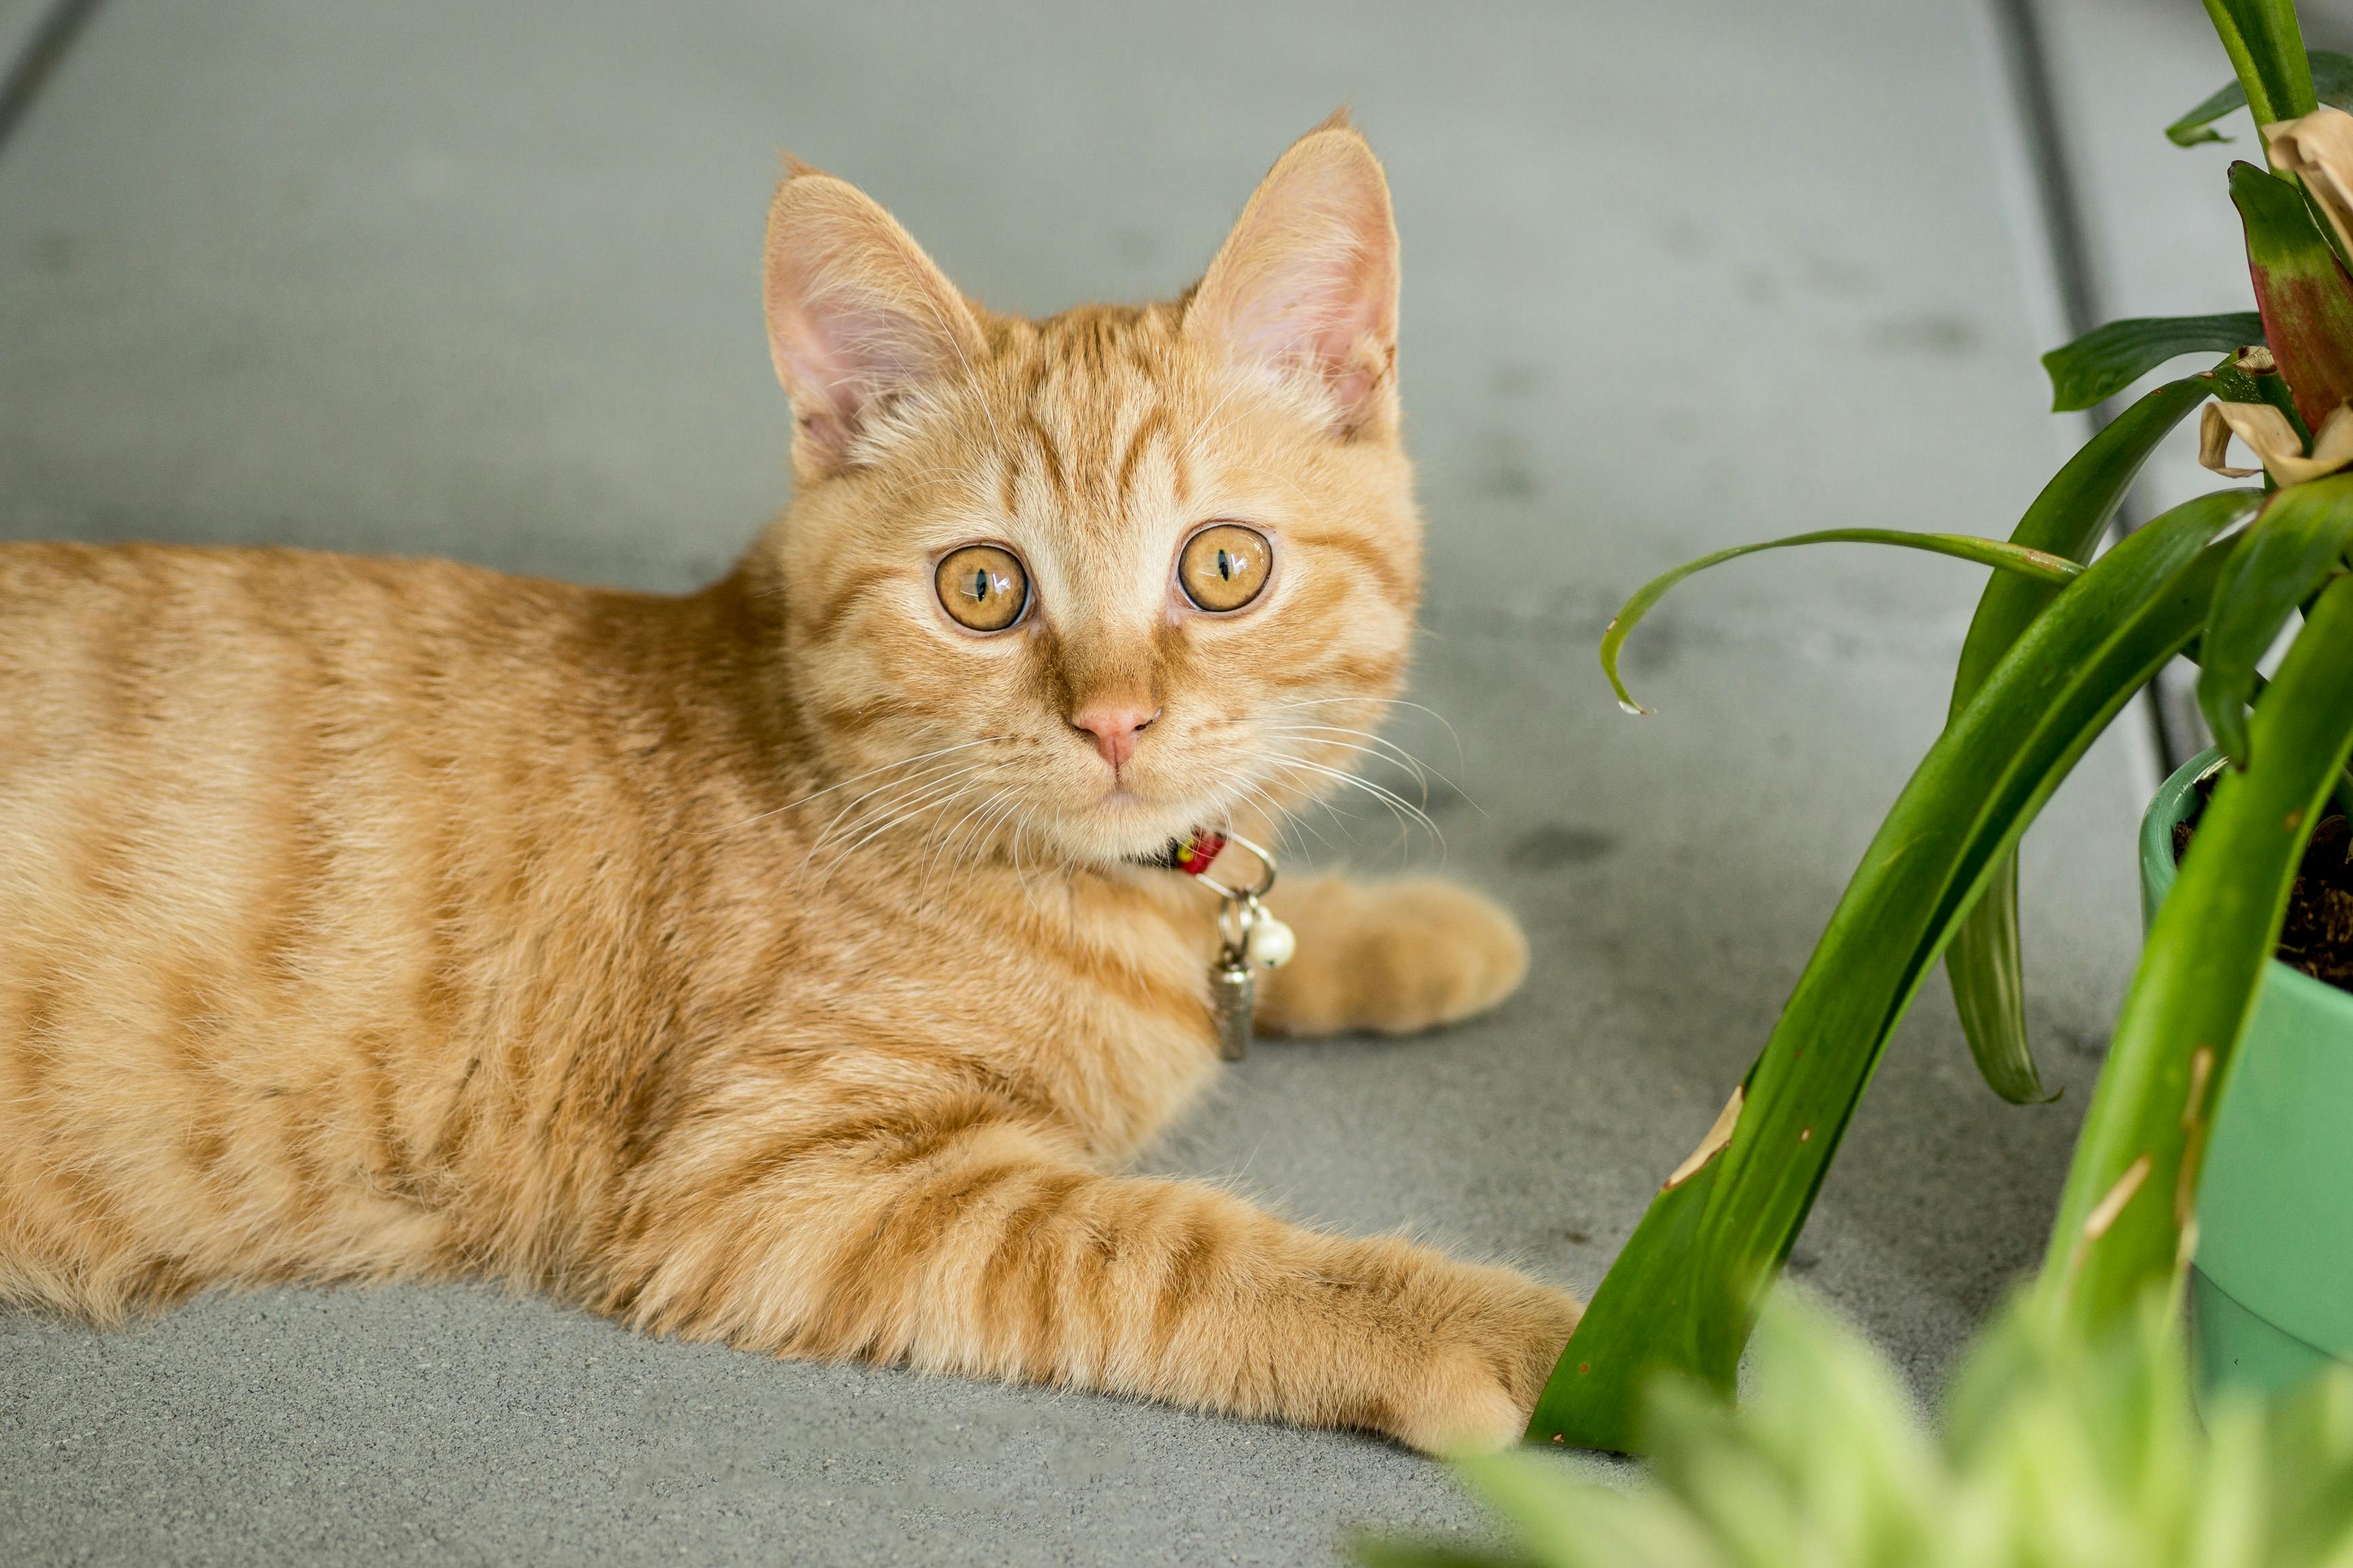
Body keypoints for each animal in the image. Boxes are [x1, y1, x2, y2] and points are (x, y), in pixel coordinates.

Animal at [9, 116, 1581, 1457]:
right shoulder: (773, 1180)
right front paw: (1526, 1336)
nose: (1114, 719)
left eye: (1224, 565)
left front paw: (1413, 930)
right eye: (982, 588)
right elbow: (1167, 1250)